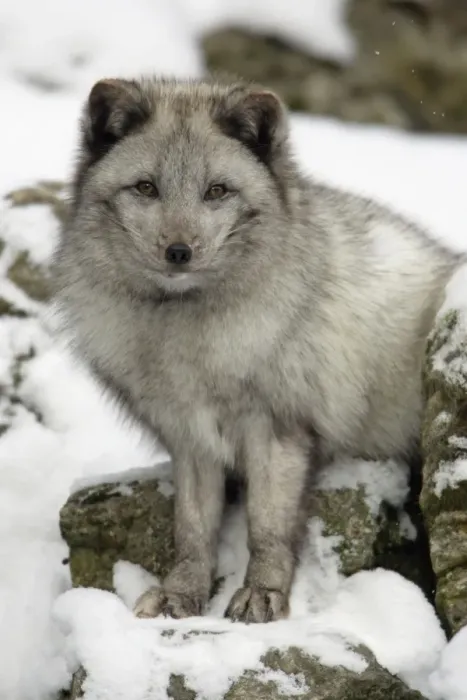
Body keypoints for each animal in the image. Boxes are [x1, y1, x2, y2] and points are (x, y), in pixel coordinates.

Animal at [52, 76, 460, 623]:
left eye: (217, 191)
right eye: (146, 187)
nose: (178, 252)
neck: (185, 334)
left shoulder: (277, 426)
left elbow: (267, 525)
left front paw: (263, 593)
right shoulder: (190, 436)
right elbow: (192, 529)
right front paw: (181, 593)